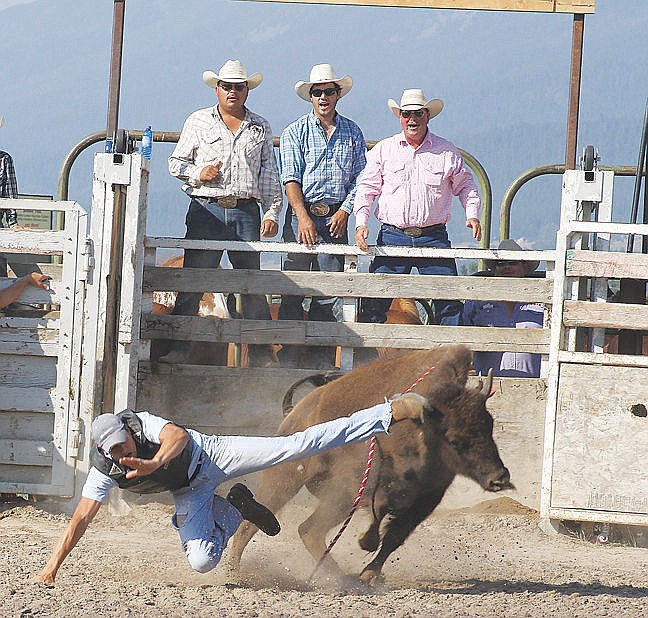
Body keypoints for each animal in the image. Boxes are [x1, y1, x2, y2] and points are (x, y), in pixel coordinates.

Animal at [230, 344, 512, 584]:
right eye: (454, 439)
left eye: (489, 425)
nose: (499, 477)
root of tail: (296, 412)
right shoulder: (373, 488)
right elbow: (379, 518)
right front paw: (366, 544)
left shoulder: (426, 499)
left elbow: (395, 536)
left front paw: (370, 574)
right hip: (291, 483)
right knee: (262, 526)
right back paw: (234, 573)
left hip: (335, 497)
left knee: (308, 529)